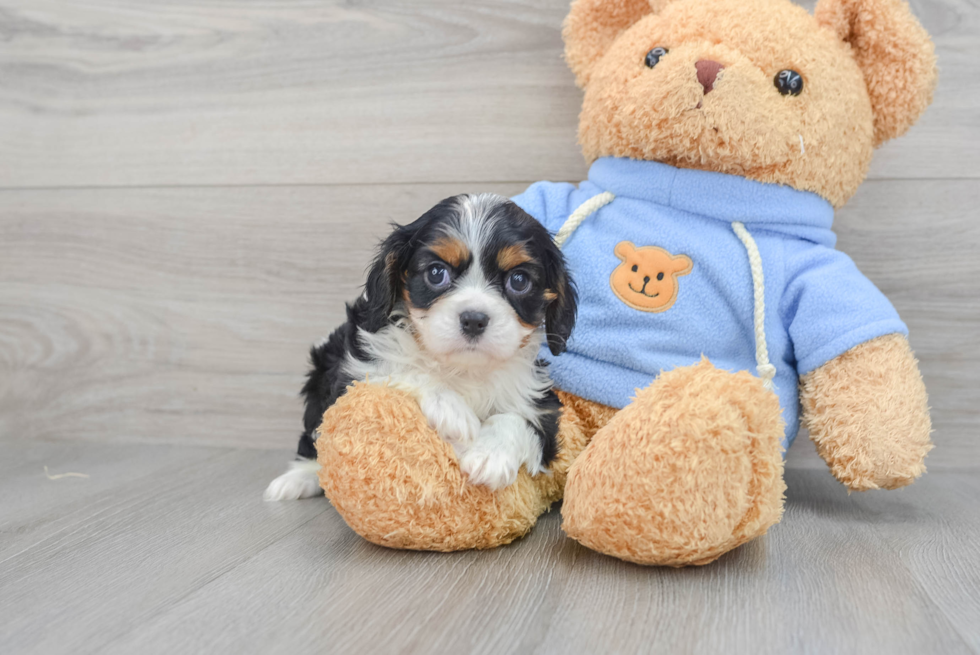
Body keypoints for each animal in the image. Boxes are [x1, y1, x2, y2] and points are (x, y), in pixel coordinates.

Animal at [264, 192, 580, 500]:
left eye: (519, 280)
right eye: (436, 273)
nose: (474, 319)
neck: (465, 369)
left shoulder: (542, 403)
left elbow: (520, 419)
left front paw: (491, 454)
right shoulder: (357, 370)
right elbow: (403, 370)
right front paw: (452, 410)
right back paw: (297, 479)